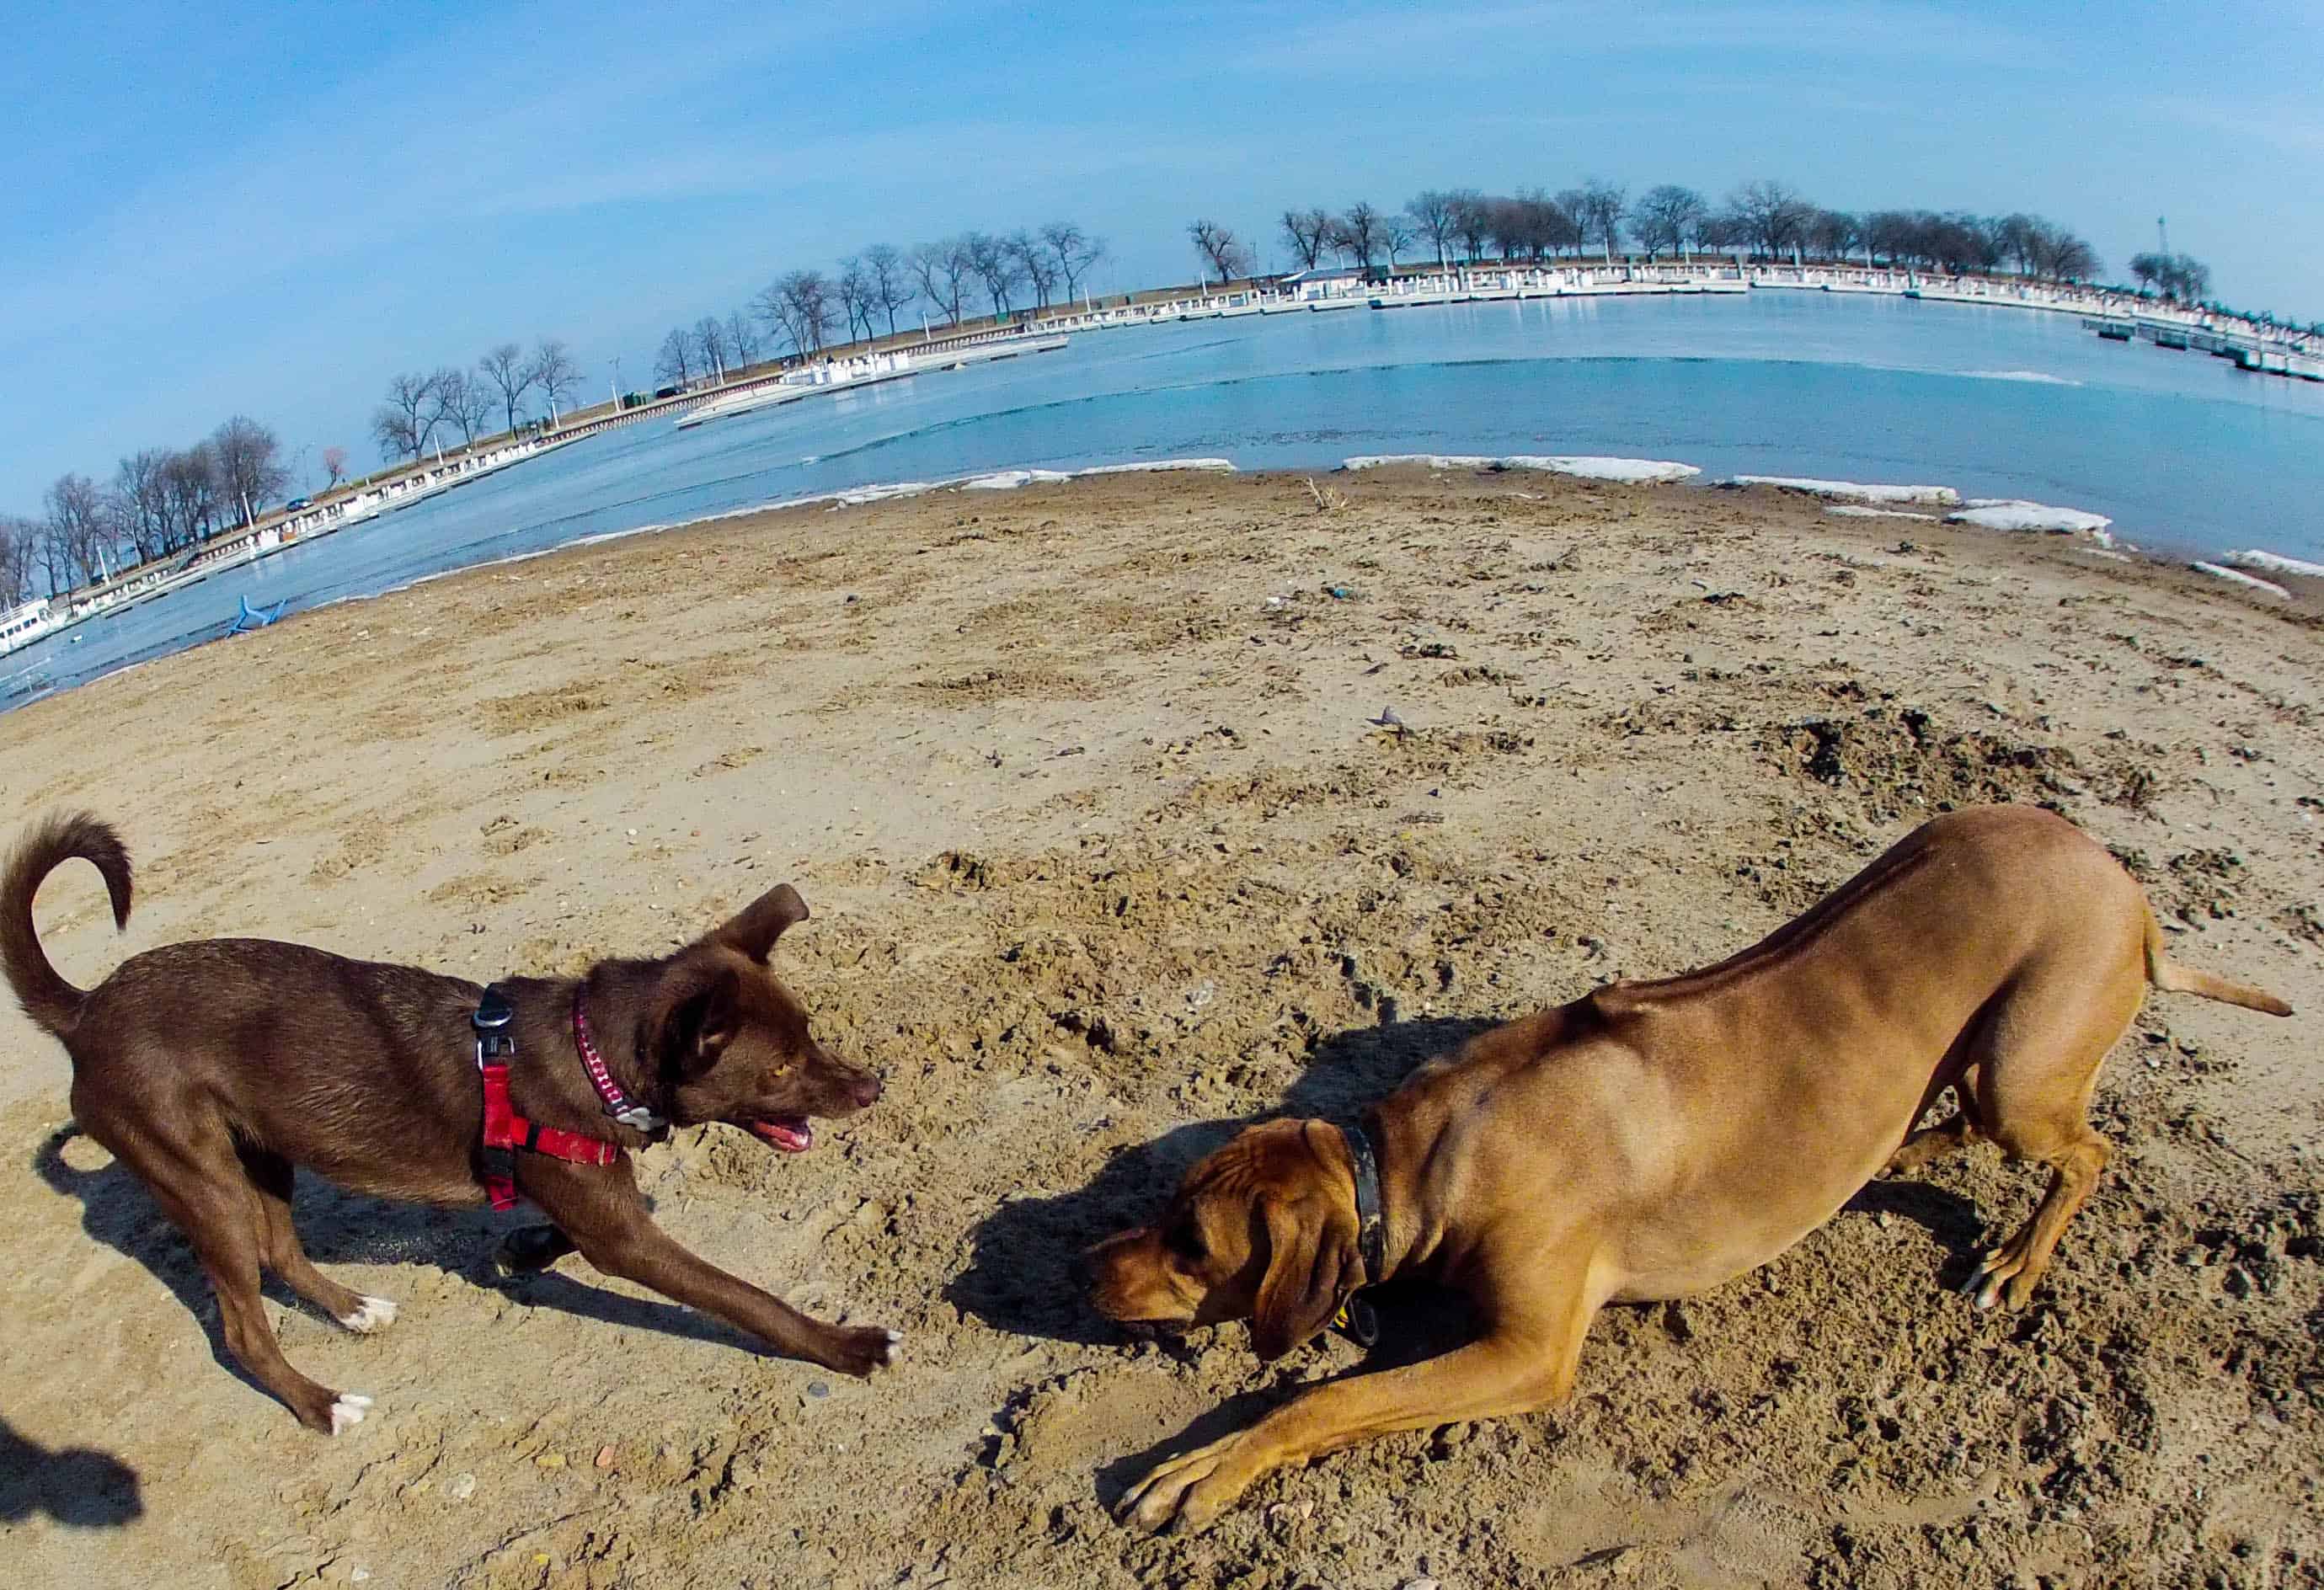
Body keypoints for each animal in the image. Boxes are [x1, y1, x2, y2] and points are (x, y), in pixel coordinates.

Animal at [1087, 808, 2286, 1524]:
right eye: (1161, 1207)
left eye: (1192, 1244)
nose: (1081, 1269)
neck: (1409, 1160)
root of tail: (2122, 879)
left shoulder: (1528, 1353)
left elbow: (1318, 1402)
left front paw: (1202, 1468)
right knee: (1943, 1120)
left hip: (2022, 1075)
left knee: (2087, 1152)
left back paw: (2018, 1261)